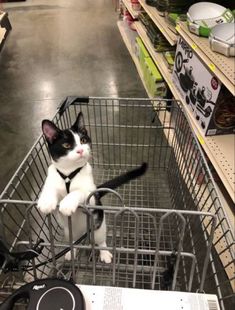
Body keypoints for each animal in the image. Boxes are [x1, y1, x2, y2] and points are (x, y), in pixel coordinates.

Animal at [37, 114, 146, 264]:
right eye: (66, 145)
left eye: (83, 140)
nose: (80, 150)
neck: (69, 174)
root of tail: (85, 232)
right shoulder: (54, 178)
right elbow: (50, 189)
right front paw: (46, 202)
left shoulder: (93, 197)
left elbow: (80, 192)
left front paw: (67, 203)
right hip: (69, 231)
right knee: (74, 241)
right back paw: (72, 251)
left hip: (99, 226)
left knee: (100, 240)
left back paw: (104, 253)